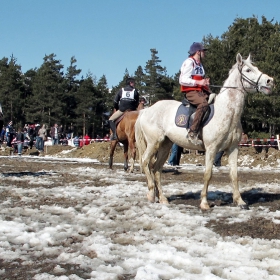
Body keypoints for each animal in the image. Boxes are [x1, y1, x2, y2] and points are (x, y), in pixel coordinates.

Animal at [136, 53, 274, 210]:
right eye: (248, 70)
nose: (270, 81)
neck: (228, 113)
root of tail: (147, 110)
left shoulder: (233, 148)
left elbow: (234, 174)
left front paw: (240, 201)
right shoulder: (211, 149)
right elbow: (208, 174)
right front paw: (204, 203)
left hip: (166, 145)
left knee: (156, 169)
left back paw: (163, 198)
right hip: (154, 143)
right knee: (145, 162)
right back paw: (151, 194)